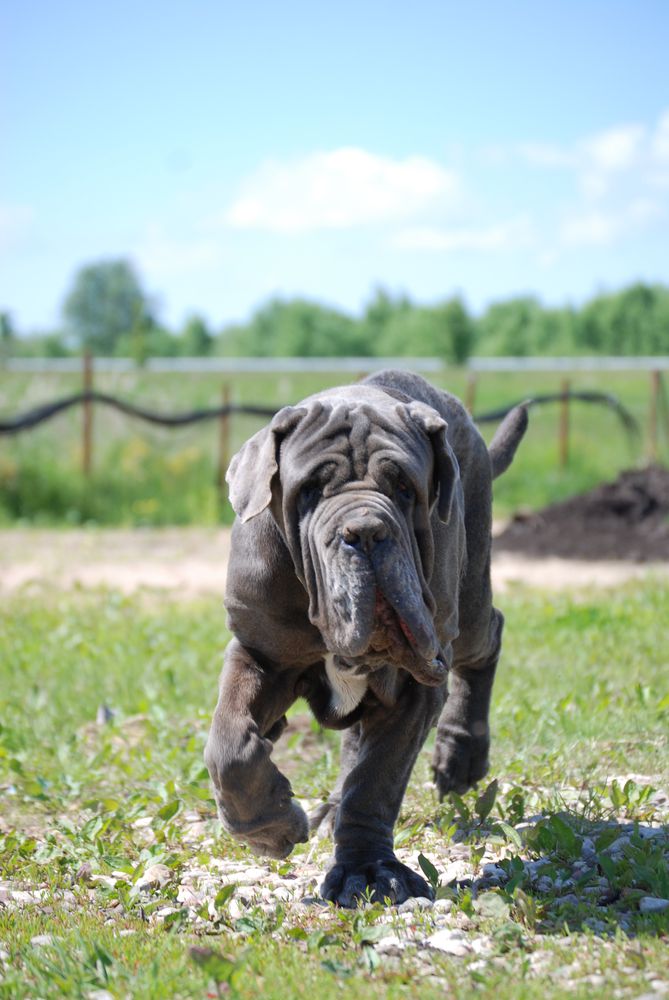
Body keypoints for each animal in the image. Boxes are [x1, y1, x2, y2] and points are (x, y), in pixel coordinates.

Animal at [204, 370, 528, 908]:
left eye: (404, 487)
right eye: (310, 490)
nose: (366, 530)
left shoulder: (416, 684)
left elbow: (376, 779)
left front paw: (368, 871)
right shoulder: (261, 655)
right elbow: (230, 747)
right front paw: (273, 827)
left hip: (469, 605)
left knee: (491, 633)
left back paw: (460, 754)